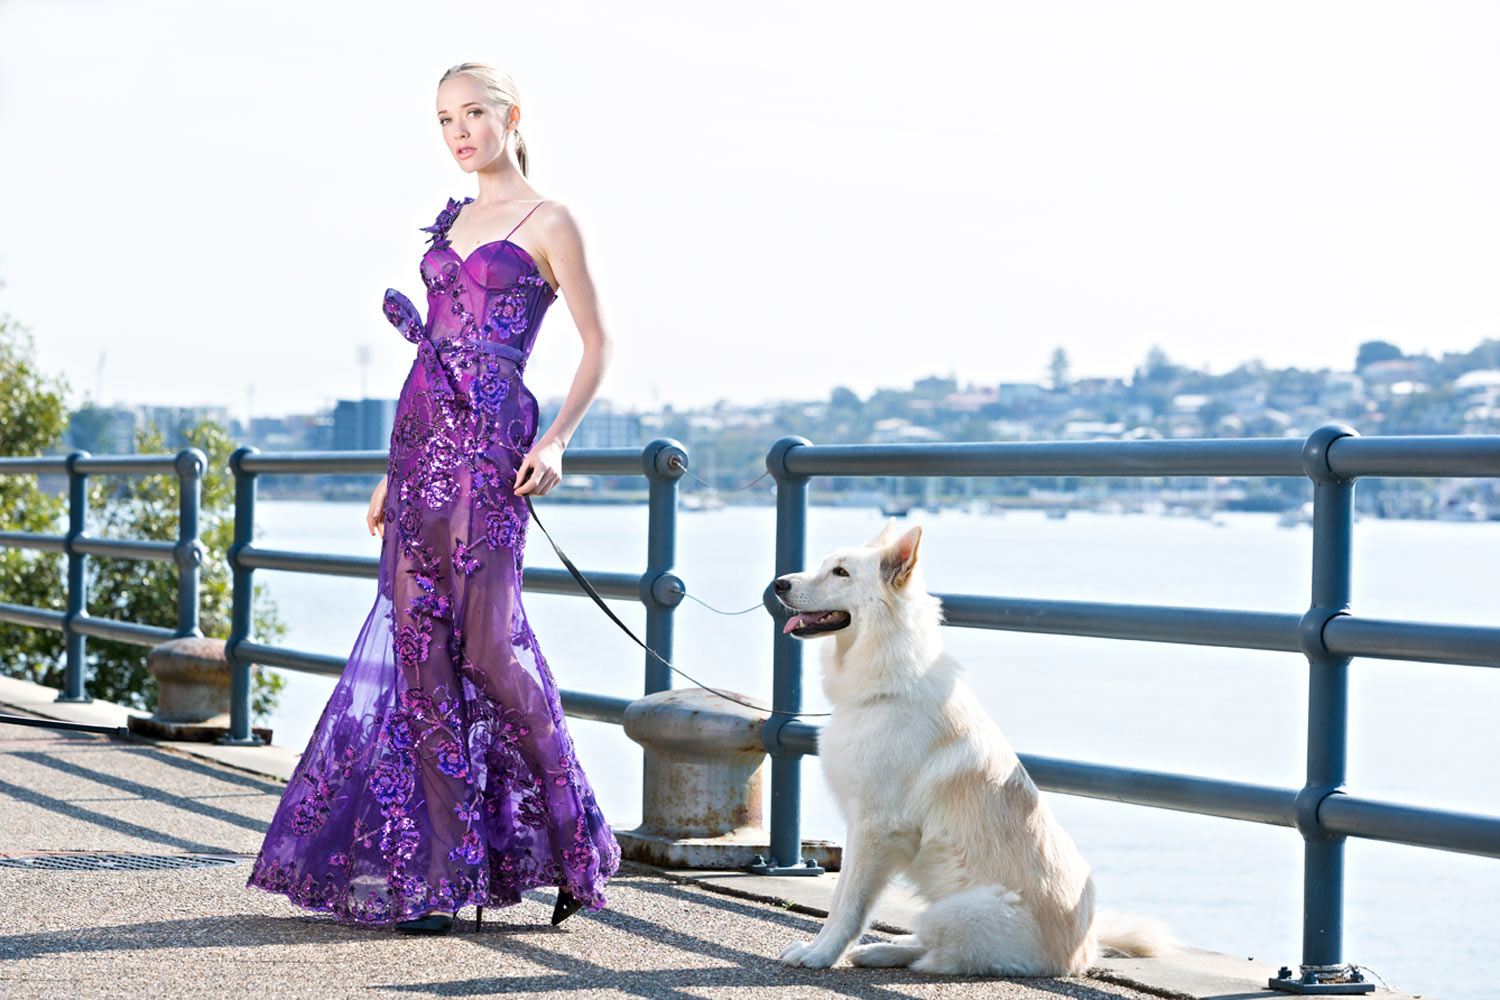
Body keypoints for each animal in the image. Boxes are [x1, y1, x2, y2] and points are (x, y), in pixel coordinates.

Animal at [774, 521, 1170, 971]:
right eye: (824, 564)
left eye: (840, 572)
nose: (778, 584)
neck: (889, 685)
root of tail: (1084, 952)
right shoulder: (862, 827)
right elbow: (843, 898)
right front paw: (822, 949)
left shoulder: (876, 828)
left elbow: (847, 905)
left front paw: (820, 954)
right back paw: (880, 950)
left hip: (954, 912)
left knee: (939, 954)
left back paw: (886, 952)